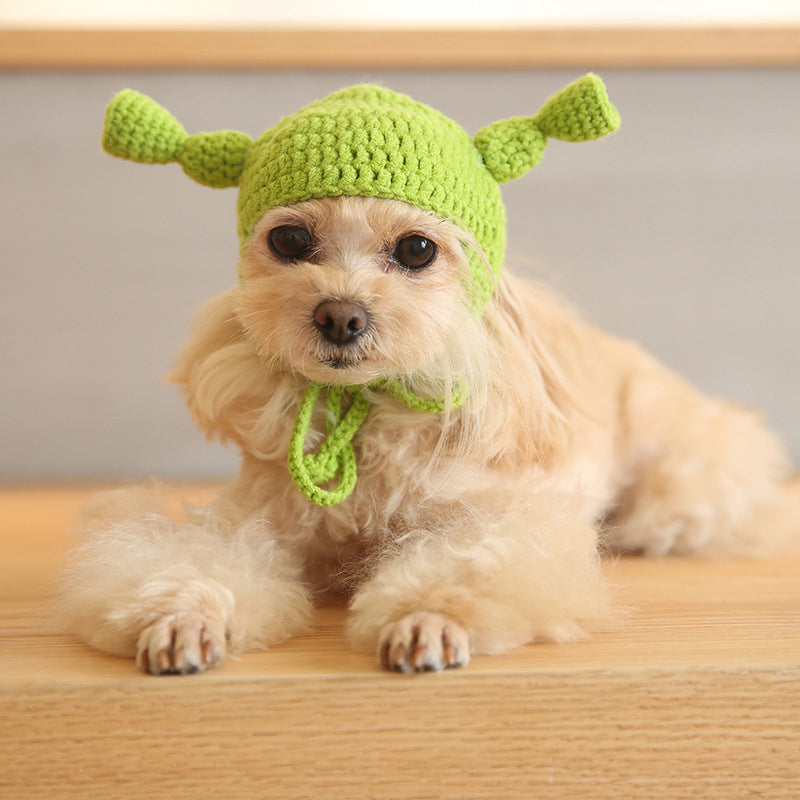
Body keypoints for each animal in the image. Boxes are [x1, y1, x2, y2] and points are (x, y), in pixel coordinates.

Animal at [59, 76, 796, 676]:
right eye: (289, 240)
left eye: (417, 249)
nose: (340, 316)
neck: (362, 421)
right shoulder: (256, 522)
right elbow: (199, 561)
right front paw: (183, 617)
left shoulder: (496, 525)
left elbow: (465, 569)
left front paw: (425, 622)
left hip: (682, 473)